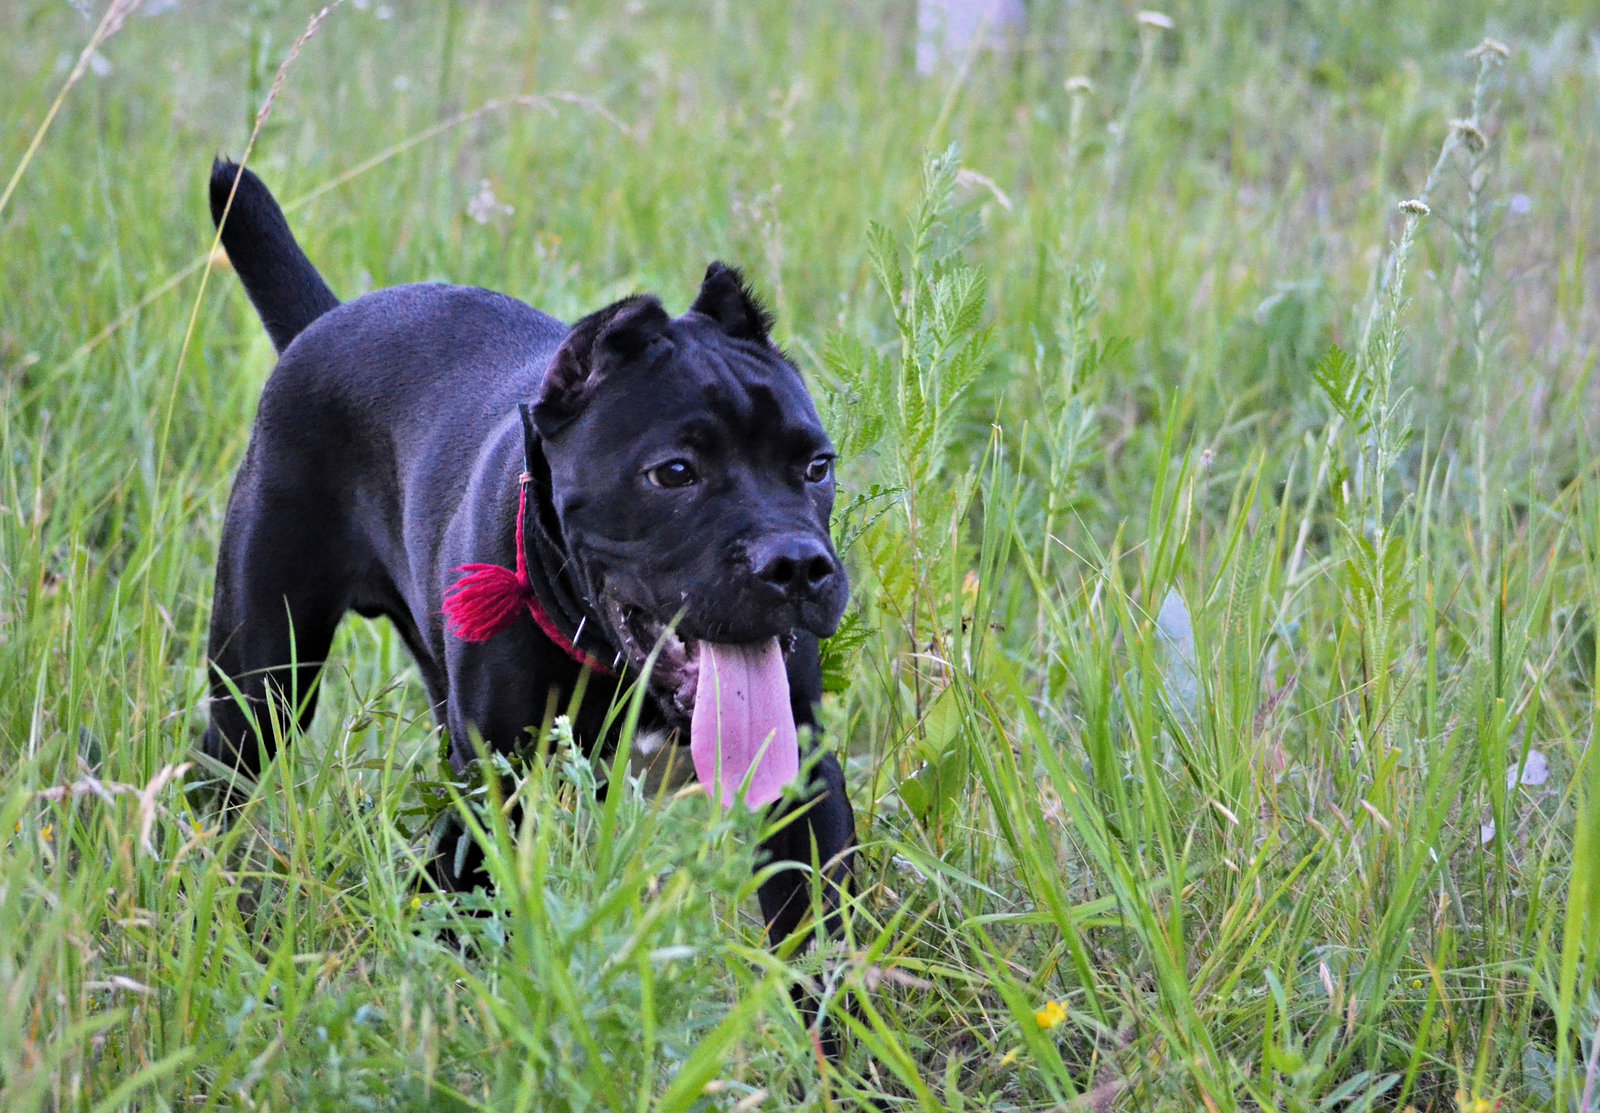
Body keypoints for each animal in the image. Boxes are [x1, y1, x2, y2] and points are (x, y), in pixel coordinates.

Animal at [204, 158, 857, 997]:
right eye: (674, 472)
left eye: (817, 466)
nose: (797, 565)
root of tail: (330, 318)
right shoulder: (495, 781)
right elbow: (477, 911)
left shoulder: (802, 782)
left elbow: (819, 944)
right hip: (260, 682)